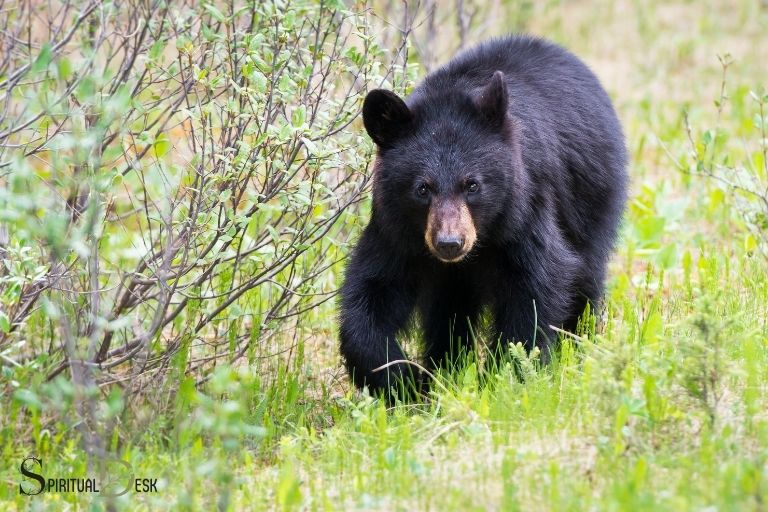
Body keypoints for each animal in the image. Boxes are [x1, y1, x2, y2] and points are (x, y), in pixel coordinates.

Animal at [339, 35, 628, 399]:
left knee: (586, 278)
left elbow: (536, 284)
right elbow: (374, 291)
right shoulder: (397, 229)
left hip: (591, 200)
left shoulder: (524, 209)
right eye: (422, 189)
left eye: (472, 184)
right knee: (448, 311)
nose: (449, 243)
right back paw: (444, 367)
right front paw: (403, 380)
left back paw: (579, 349)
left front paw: (506, 378)